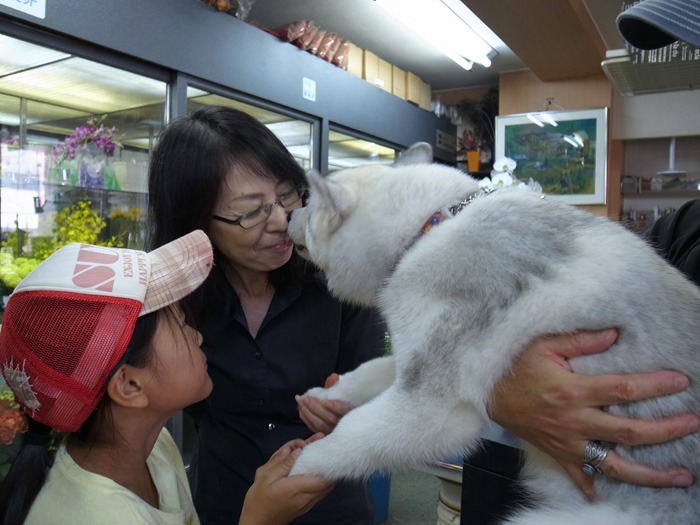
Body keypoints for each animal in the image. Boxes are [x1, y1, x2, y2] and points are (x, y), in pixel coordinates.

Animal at [288, 142, 696, 524]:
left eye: (309, 206)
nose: (289, 214)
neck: (429, 226)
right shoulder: (414, 355)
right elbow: (367, 372)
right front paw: (327, 395)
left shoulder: (433, 409)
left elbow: (350, 436)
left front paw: (296, 468)